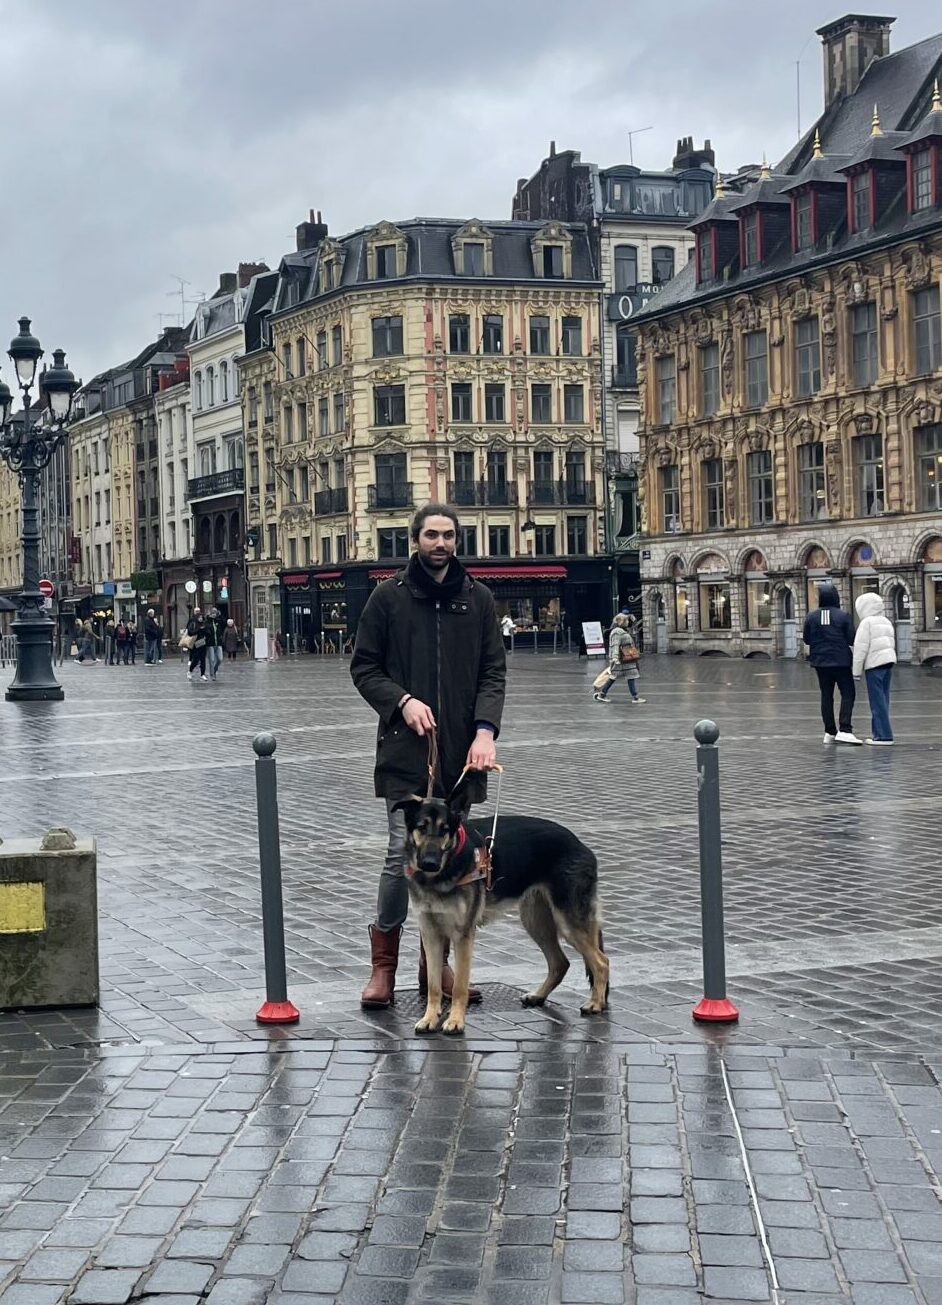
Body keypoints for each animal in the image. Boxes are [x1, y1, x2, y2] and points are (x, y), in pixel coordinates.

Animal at [391, 788, 605, 1033]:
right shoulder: (430, 934)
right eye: (422, 827)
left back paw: (595, 1003)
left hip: (569, 924)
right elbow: (433, 986)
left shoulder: (463, 935)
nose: (429, 863)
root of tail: (580, 844)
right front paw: (429, 1018)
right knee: (561, 962)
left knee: (601, 963)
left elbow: (459, 986)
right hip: (535, 921)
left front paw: (455, 1021)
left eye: (445, 830)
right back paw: (539, 996)